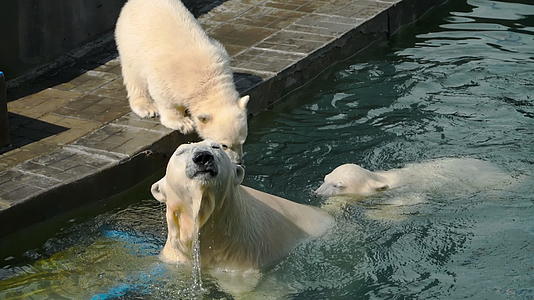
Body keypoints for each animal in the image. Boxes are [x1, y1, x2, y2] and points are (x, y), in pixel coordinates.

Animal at [115, 0, 249, 162]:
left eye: (242, 141)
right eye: (224, 145)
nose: (238, 161)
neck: (208, 81)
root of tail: (131, 4)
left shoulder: (219, 54)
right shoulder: (168, 75)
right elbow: (165, 98)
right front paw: (184, 123)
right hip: (131, 40)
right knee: (134, 75)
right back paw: (147, 107)